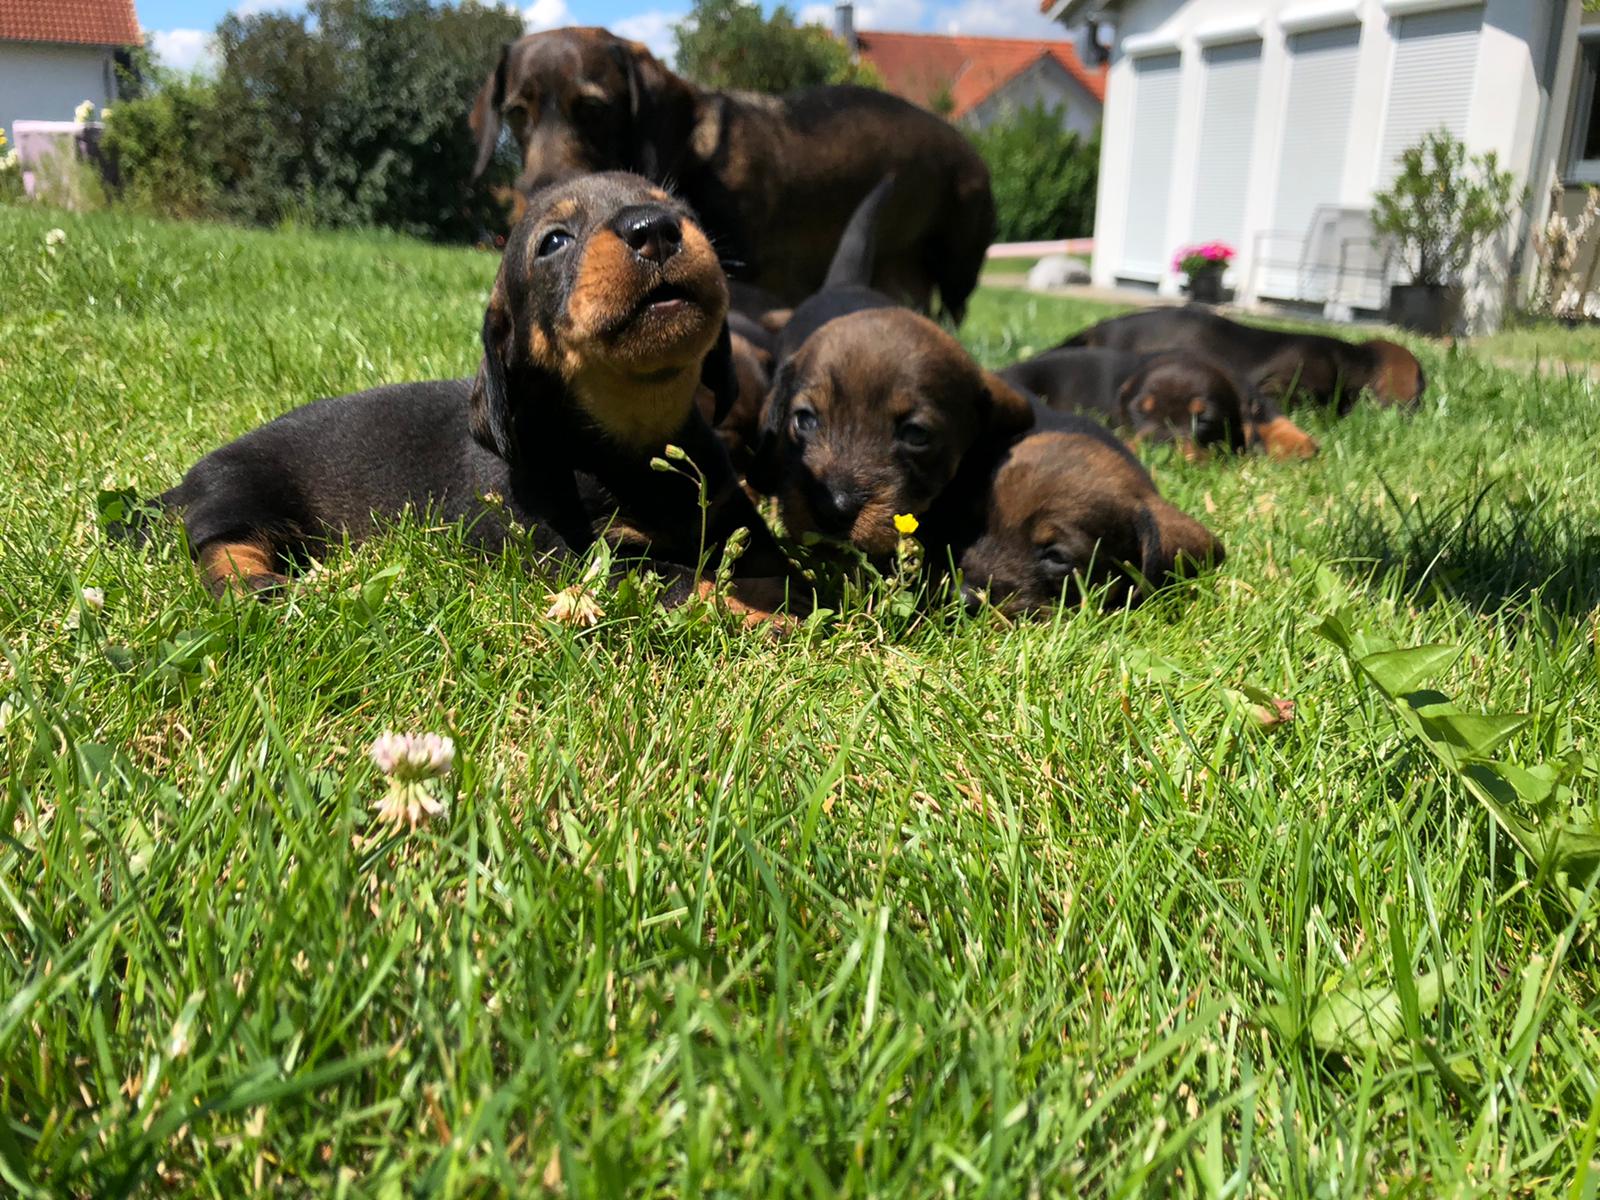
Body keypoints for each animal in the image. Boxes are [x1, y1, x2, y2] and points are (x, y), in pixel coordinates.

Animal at [148, 172, 796, 614]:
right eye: (554, 241)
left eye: (681, 211)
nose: (654, 227)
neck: (638, 436)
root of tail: (183, 486)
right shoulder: (581, 554)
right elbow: (680, 578)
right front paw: (762, 612)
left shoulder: (736, 516)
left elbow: (777, 564)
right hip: (245, 493)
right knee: (220, 552)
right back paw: (277, 584)